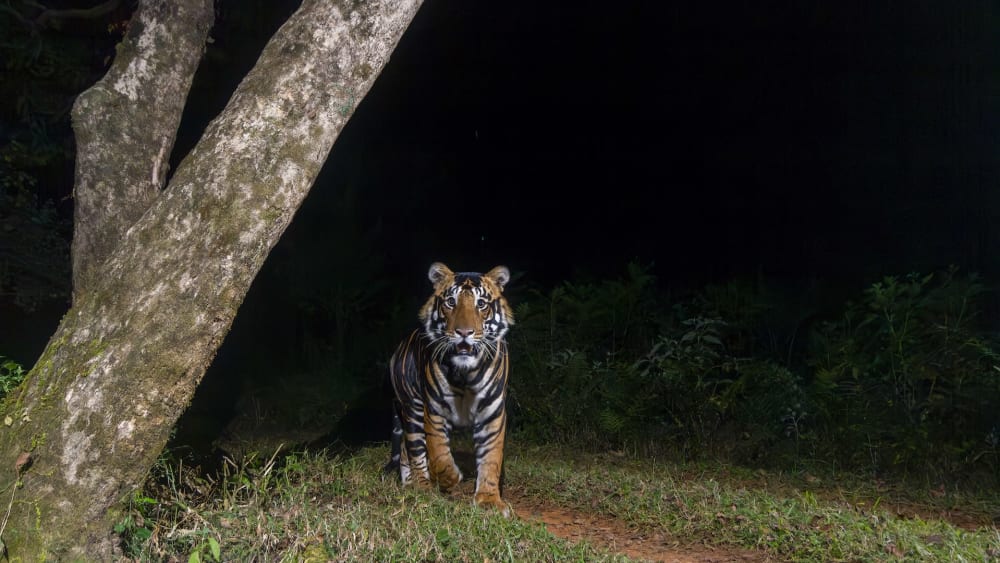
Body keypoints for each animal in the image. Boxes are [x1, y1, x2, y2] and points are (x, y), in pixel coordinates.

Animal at [385, 262, 515, 517]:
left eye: (481, 304)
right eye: (451, 302)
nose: (464, 332)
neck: (466, 375)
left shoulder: (492, 414)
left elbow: (491, 457)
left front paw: (489, 501)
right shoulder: (434, 410)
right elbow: (438, 455)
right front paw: (450, 479)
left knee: (405, 448)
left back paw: (410, 484)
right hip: (412, 408)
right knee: (414, 448)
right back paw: (421, 486)